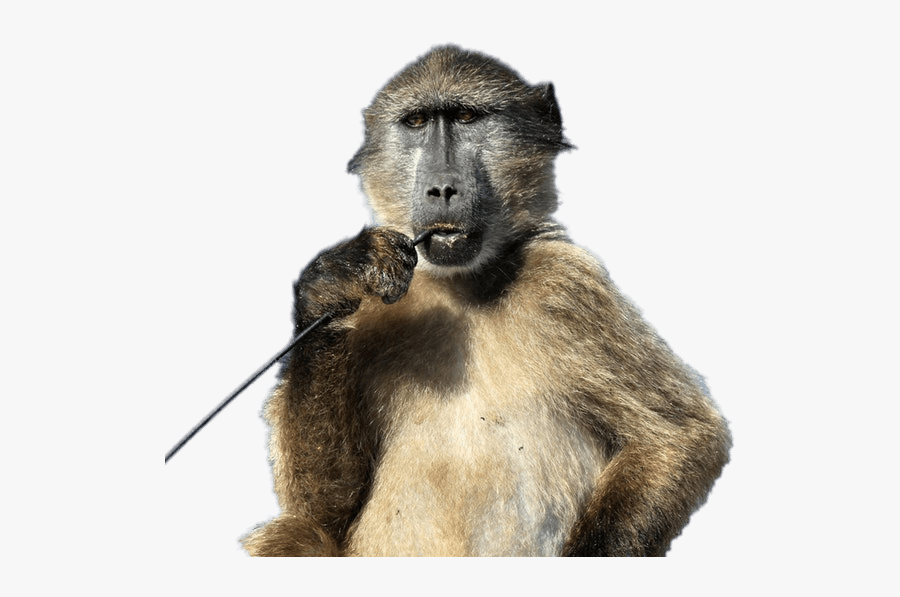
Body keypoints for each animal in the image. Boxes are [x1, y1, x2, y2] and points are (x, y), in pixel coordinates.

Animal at [241, 45, 731, 557]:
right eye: (417, 121)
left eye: (465, 117)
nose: (441, 188)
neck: (463, 287)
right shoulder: (379, 301)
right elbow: (322, 508)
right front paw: (332, 282)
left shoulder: (566, 285)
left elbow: (678, 438)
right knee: (294, 530)